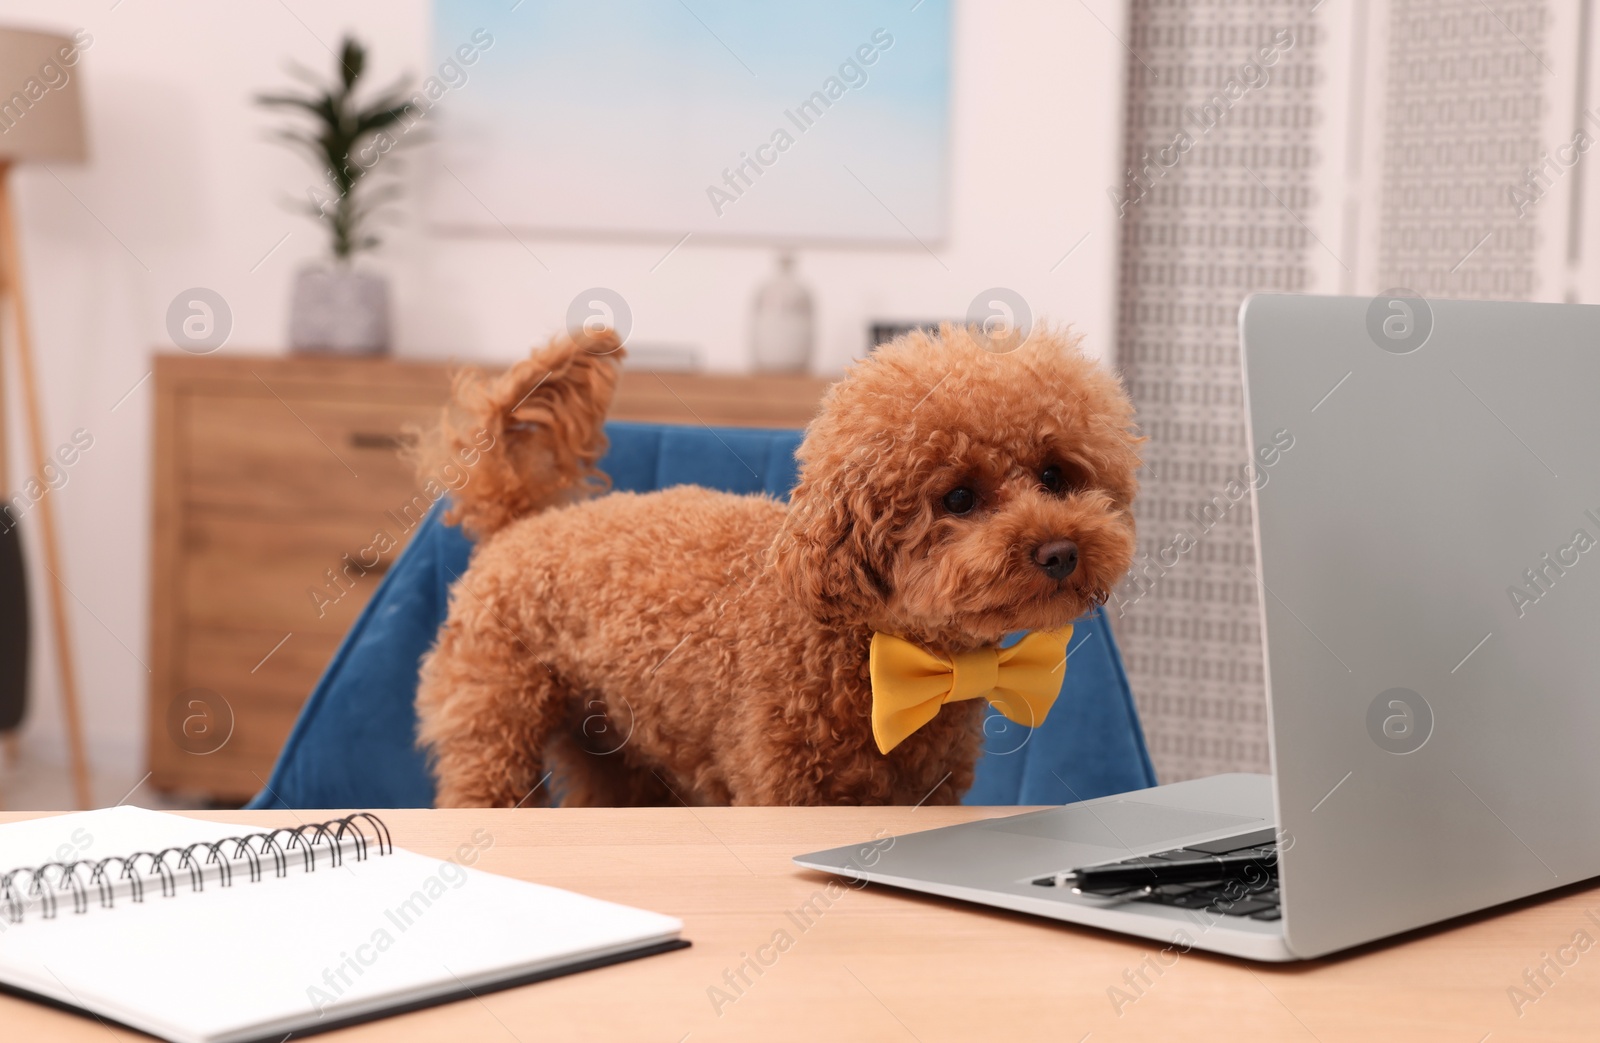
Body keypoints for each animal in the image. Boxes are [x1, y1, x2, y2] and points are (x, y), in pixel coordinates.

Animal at [412, 323, 1139, 806]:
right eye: (958, 498)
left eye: (1055, 476)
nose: (1060, 550)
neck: (865, 643)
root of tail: (521, 522)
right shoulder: (780, 781)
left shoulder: (924, 792)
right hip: (495, 720)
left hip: (617, 745)